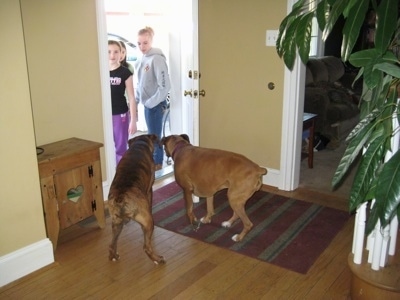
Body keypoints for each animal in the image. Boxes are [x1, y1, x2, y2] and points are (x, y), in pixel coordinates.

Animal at [107, 135, 165, 264]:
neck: (139, 144)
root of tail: (121, 198)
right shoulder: (149, 190)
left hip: (116, 224)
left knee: (112, 244)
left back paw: (113, 256)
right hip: (148, 221)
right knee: (146, 247)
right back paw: (157, 259)